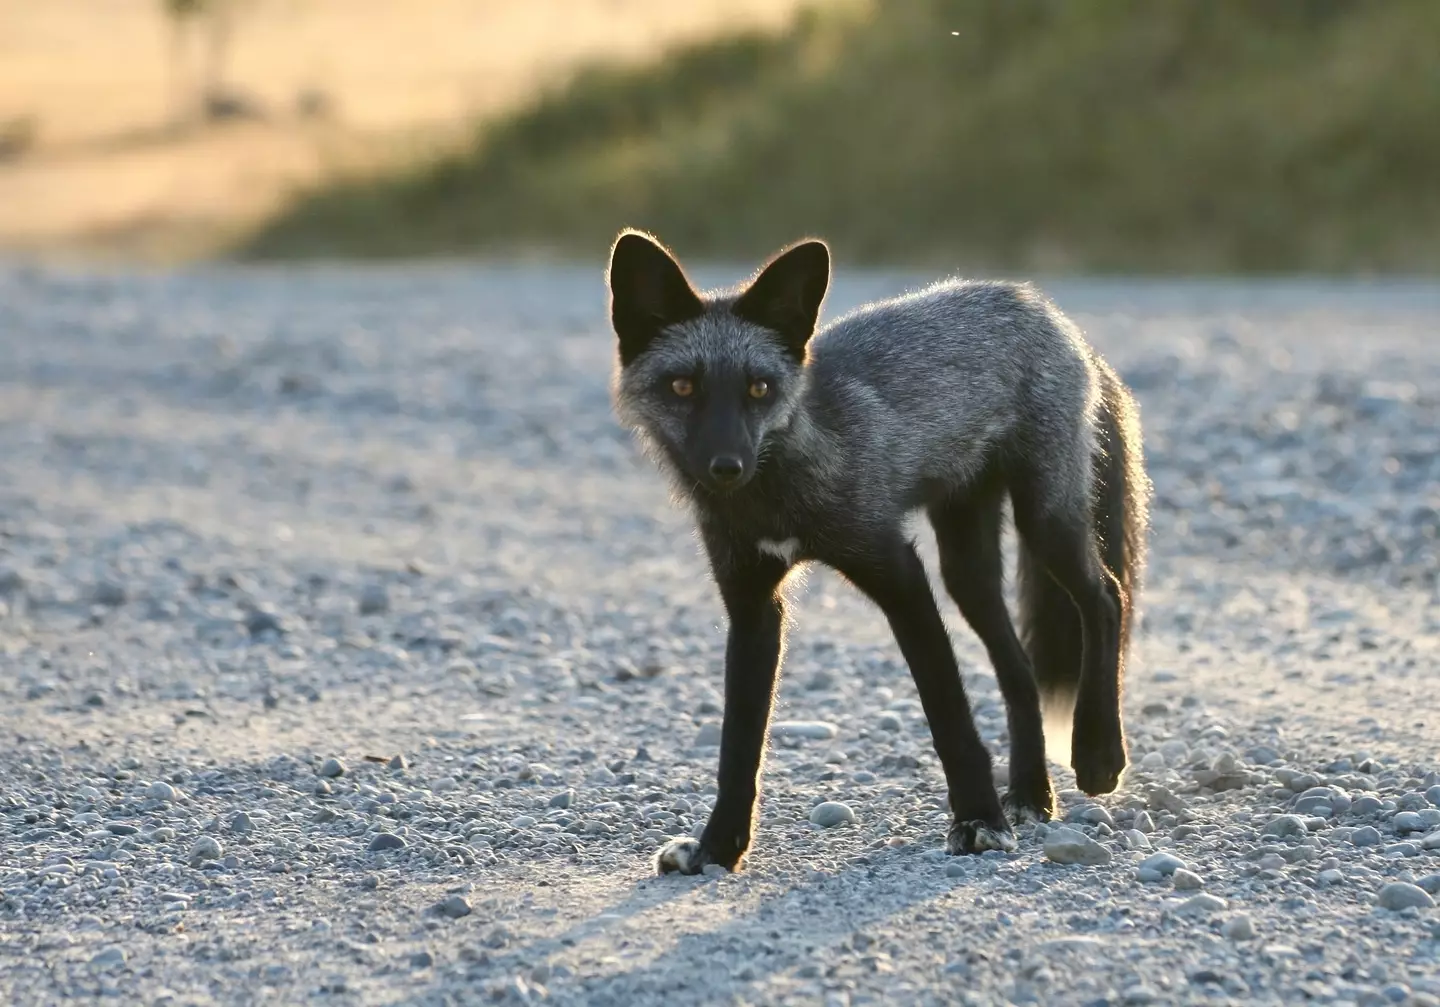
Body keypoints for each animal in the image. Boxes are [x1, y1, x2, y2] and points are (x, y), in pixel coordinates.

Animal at [601, 230, 1152, 875]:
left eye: (758, 389)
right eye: (683, 387)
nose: (726, 467)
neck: (779, 491)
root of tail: (1050, 313)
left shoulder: (897, 571)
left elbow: (949, 712)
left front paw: (978, 822)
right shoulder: (753, 603)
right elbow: (738, 746)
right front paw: (719, 849)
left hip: (1046, 524)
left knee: (1105, 597)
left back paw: (1097, 754)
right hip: (966, 569)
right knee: (1019, 670)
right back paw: (1030, 795)